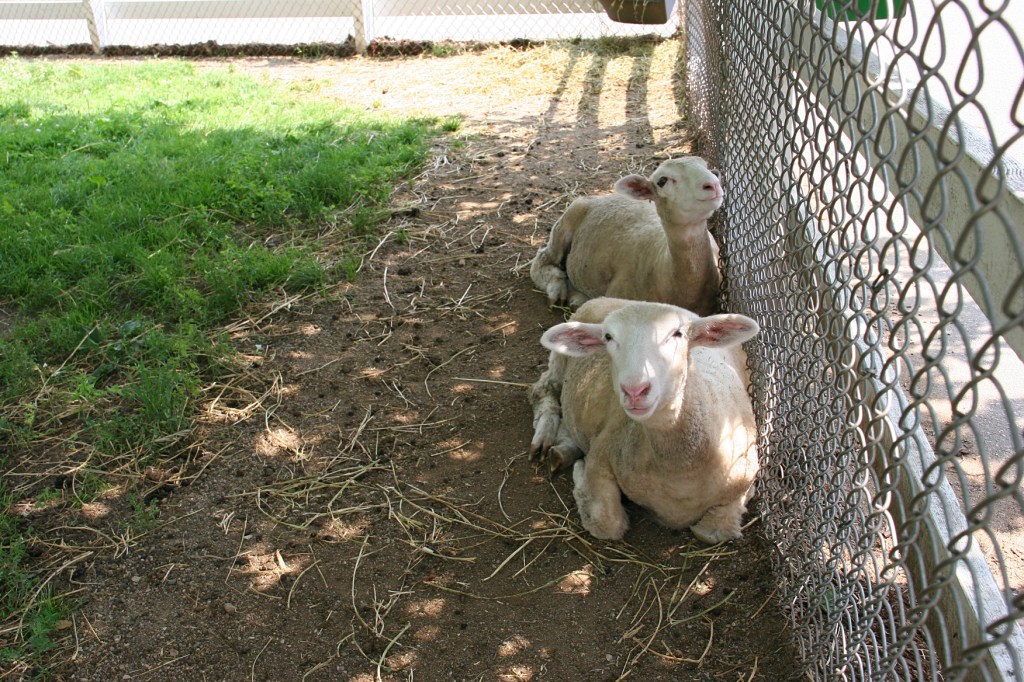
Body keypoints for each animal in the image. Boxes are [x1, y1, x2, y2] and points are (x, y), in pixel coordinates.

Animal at [529, 297, 760, 544]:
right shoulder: (602, 453)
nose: (634, 390)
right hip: (558, 362)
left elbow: (711, 532)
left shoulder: (745, 482)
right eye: (608, 337)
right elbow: (606, 523)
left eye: (678, 333)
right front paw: (580, 476)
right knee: (542, 389)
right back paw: (546, 437)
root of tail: (614, 299)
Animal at [530, 156, 725, 316]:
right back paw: (558, 289)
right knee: (541, 260)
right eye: (662, 181)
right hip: (568, 219)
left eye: (707, 167)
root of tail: (602, 197)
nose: (713, 184)